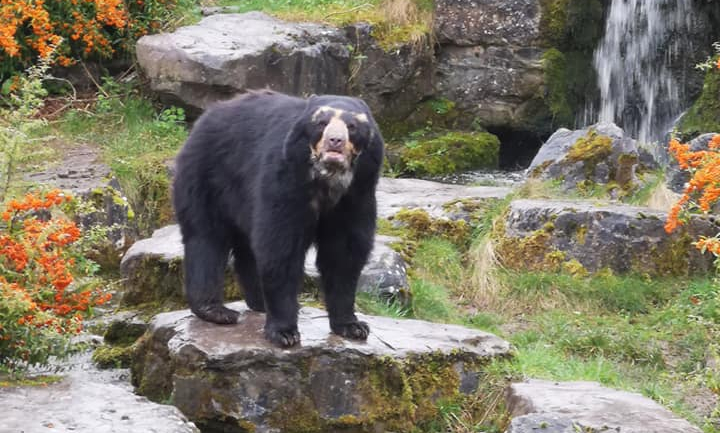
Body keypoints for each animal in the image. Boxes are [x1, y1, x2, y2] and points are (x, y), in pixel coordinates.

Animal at [172, 90, 384, 347]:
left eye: (352, 126)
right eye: (321, 123)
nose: (335, 141)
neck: (327, 181)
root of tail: (207, 114)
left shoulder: (357, 195)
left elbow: (344, 254)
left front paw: (353, 326)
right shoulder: (286, 182)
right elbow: (281, 248)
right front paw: (284, 332)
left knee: (246, 248)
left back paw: (258, 302)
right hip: (209, 174)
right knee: (207, 237)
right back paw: (215, 310)